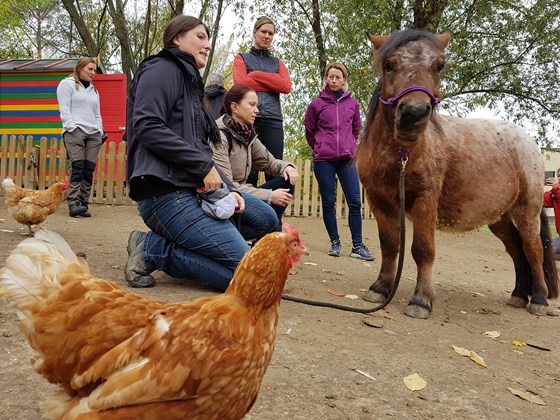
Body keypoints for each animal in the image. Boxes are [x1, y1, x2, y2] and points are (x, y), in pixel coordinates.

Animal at [356, 29, 556, 318]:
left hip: (527, 208)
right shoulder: (379, 201)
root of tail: (528, 141)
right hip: (499, 217)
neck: (401, 155)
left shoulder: (425, 201)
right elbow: (390, 245)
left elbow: (422, 250)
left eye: (439, 66)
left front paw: (421, 300)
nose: (413, 115)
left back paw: (539, 300)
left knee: (533, 249)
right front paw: (380, 289)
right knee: (516, 250)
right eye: (388, 64)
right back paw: (519, 295)